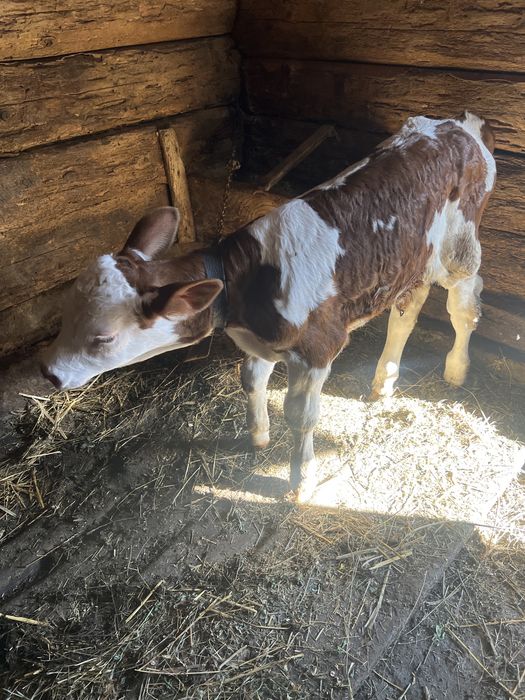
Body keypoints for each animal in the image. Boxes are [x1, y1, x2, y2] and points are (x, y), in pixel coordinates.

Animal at [41, 112, 496, 500]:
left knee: (464, 306)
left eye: (103, 337)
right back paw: (384, 381)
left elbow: (301, 416)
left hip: (460, 248)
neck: (245, 283)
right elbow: (251, 378)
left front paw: (301, 480)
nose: (49, 372)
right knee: (407, 309)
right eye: (65, 312)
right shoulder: (260, 341)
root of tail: (459, 123)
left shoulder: (317, 348)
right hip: (411, 258)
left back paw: (456, 369)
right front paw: (258, 435)